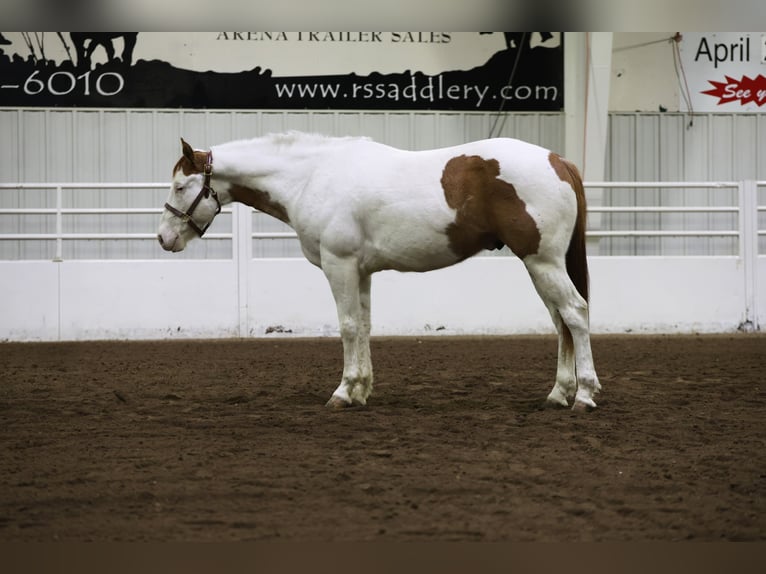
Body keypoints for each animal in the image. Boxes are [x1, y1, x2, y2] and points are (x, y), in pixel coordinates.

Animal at [158, 133, 600, 412]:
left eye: (180, 186)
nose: (164, 238)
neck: (311, 177)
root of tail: (558, 160)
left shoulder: (338, 265)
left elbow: (348, 326)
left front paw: (342, 392)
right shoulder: (361, 270)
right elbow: (365, 326)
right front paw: (361, 391)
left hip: (542, 262)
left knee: (576, 314)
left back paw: (584, 396)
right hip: (542, 266)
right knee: (560, 322)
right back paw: (558, 394)